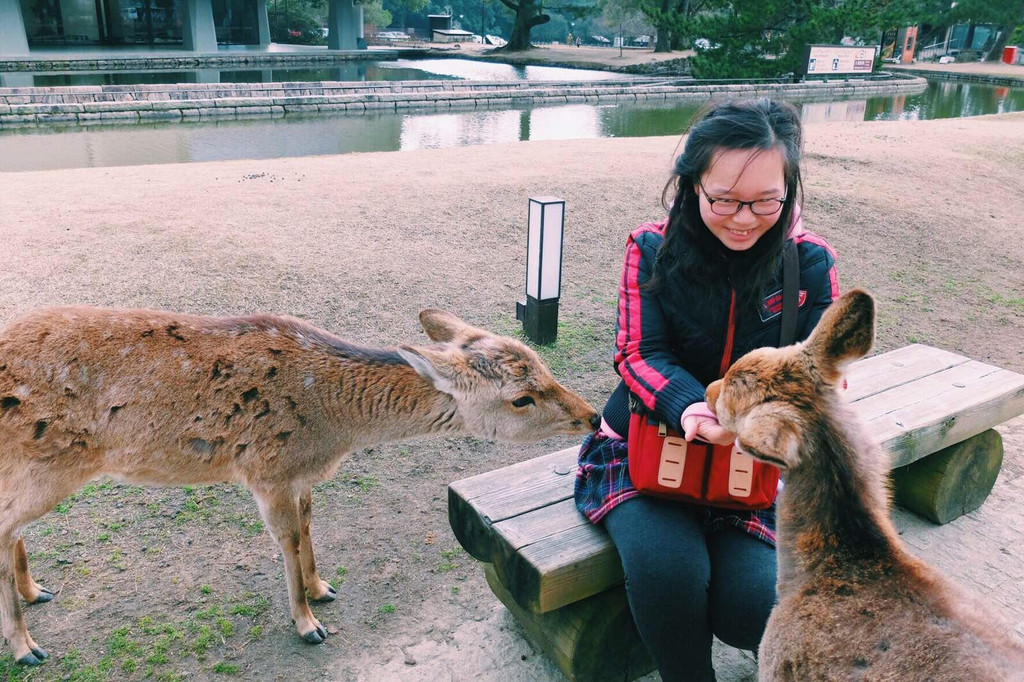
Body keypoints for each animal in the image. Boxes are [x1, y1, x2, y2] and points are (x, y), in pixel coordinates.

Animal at [0, 303, 598, 663]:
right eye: (521, 398)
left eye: (541, 363)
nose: (592, 416)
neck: (332, 428)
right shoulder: (265, 469)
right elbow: (286, 541)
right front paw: (308, 624)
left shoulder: (300, 474)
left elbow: (309, 526)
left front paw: (321, 588)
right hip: (53, 462)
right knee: (6, 526)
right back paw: (27, 646)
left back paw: (35, 591)